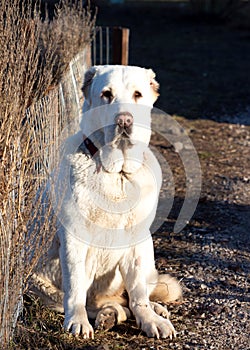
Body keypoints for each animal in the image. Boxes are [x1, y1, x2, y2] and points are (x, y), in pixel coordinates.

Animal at [33, 65, 182, 340]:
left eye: (137, 94)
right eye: (106, 94)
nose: (124, 120)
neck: (118, 174)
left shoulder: (137, 241)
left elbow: (138, 294)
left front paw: (150, 319)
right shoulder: (74, 239)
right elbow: (76, 288)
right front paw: (78, 321)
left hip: (148, 251)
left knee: (135, 296)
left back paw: (153, 309)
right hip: (43, 288)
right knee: (105, 304)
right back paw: (109, 315)